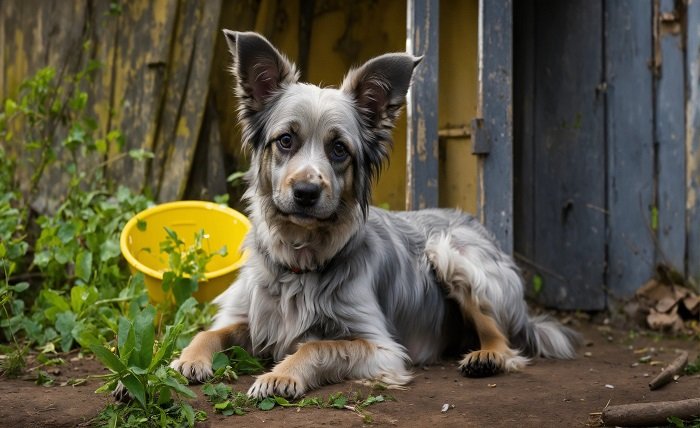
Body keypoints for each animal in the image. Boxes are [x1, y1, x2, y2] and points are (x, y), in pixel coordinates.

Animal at [170, 29, 580, 398]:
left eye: (339, 149)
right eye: (285, 140)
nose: (306, 193)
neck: (301, 263)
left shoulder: (380, 347)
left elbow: (316, 346)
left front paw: (280, 375)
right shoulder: (247, 317)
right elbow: (210, 332)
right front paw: (188, 359)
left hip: (448, 252)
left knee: (503, 336)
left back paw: (487, 356)